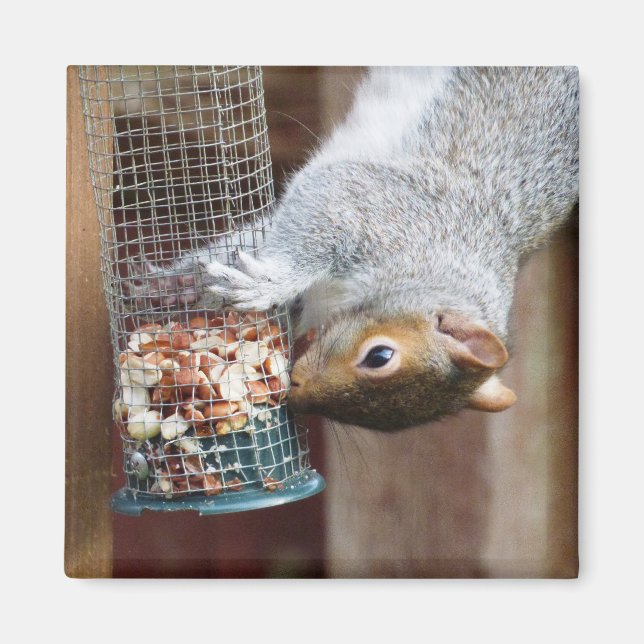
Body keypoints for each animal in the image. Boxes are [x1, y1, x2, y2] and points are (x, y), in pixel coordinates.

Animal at [126, 67, 579, 431]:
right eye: (379, 356)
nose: (297, 391)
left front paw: (185, 287)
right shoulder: (380, 208)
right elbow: (315, 216)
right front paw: (258, 283)